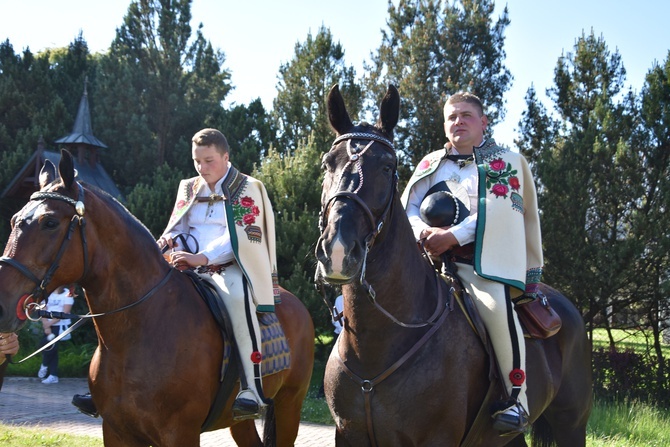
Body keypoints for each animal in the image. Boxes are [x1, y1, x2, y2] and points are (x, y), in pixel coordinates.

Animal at [0, 151, 316, 447]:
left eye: (50, 222)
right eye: (13, 219)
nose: (3, 304)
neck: (137, 331)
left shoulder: (180, 433)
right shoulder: (116, 431)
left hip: (289, 404)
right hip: (238, 420)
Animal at [316, 85, 592, 447]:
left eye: (387, 167)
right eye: (327, 164)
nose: (338, 249)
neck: (377, 346)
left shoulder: (437, 438)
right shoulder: (348, 435)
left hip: (571, 423)